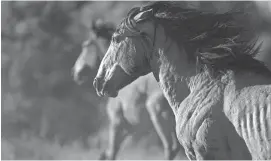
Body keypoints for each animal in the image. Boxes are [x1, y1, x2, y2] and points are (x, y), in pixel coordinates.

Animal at [72, 18, 185, 160]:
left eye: (86, 45)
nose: (76, 73)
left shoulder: (117, 122)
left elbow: (112, 152)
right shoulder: (132, 129)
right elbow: (107, 153)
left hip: (157, 114)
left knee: (170, 148)